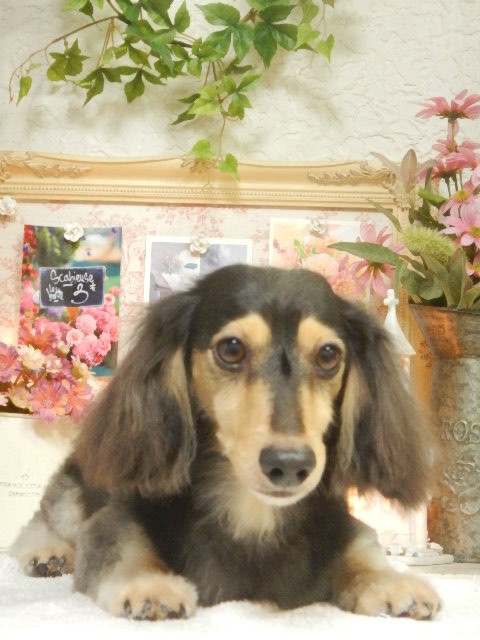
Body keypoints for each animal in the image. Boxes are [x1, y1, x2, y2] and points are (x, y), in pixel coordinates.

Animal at [11, 265, 441, 621]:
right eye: (231, 348)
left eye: (328, 355)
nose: (290, 463)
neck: (251, 511)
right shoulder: (114, 519)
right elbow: (120, 547)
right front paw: (150, 584)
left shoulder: (342, 527)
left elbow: (362, 549)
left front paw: (391, 582)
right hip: (80, 486)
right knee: (45, 519)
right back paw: (47, 553)